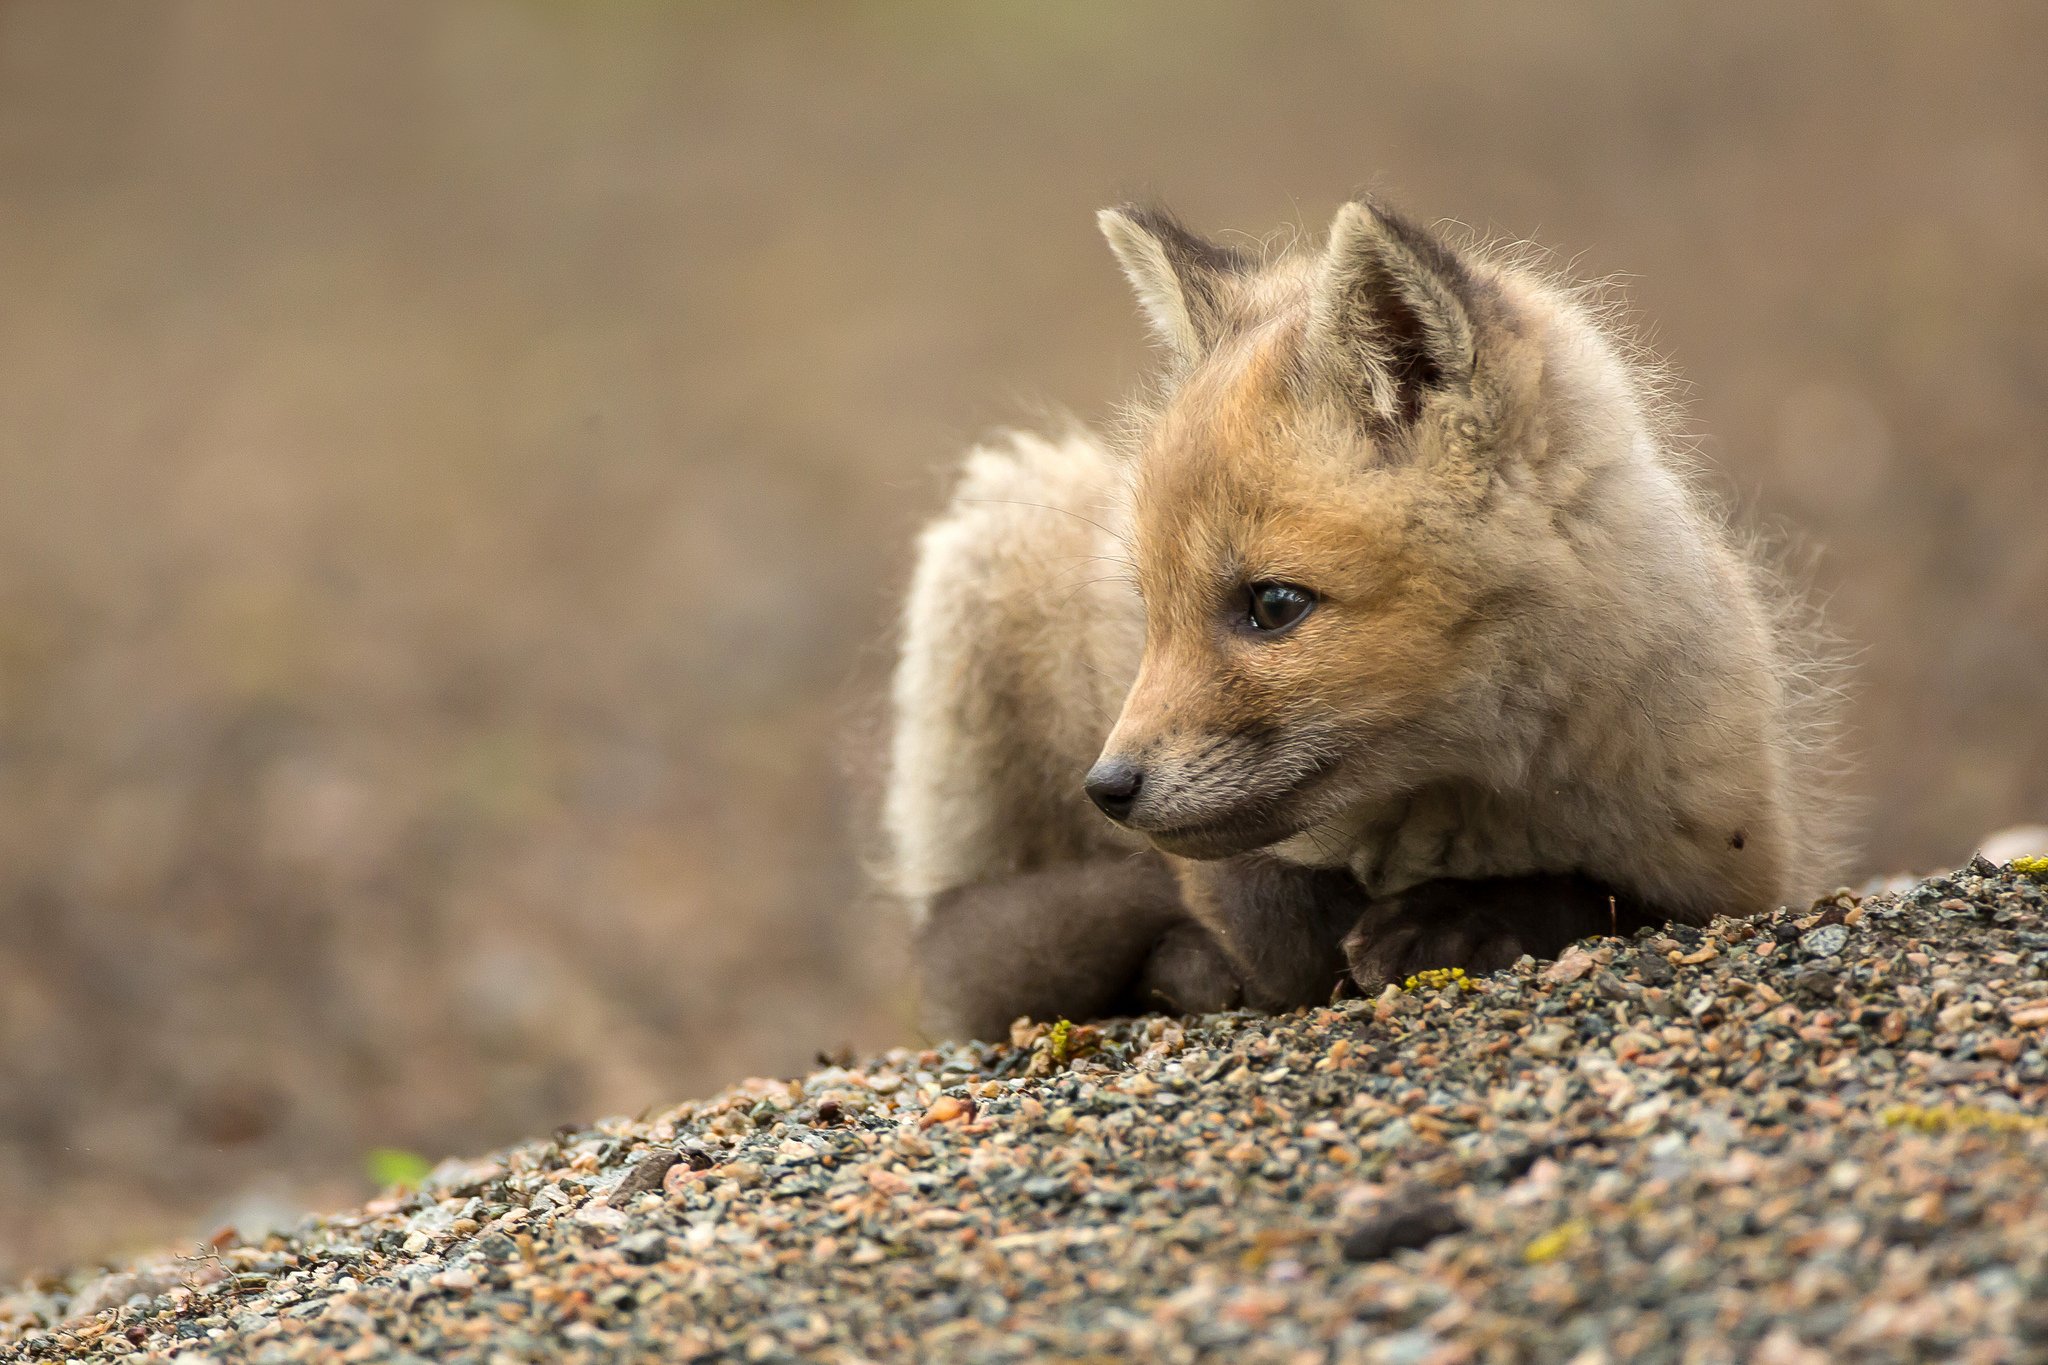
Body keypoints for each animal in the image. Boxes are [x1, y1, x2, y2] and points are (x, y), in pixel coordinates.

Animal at [885, 197, 1847, 1041]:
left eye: (1273, 605)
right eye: (1149, 608)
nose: (1108, 787)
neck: (1465, 795)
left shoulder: (1730, 862)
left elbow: (1594, 896)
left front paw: (1461, 919)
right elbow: (1258, 912)